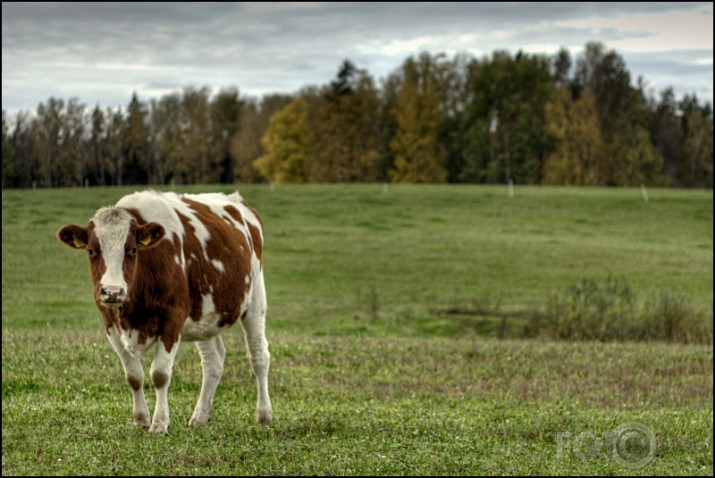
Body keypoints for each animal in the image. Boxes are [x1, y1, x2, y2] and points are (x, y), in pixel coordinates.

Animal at [56, 190, 272, 434]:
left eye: (132, 250)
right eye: (91, 251)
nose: (112, 291)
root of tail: (237, 201)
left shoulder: (173, 318)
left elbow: (159, 374)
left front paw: (159, 423)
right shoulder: (110, 323)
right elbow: (134, 376)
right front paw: (141, 419)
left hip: (255, 299)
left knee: (258, 355)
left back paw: (264, 414)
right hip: (203, 315)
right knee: (213, 361)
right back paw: (200, 415)